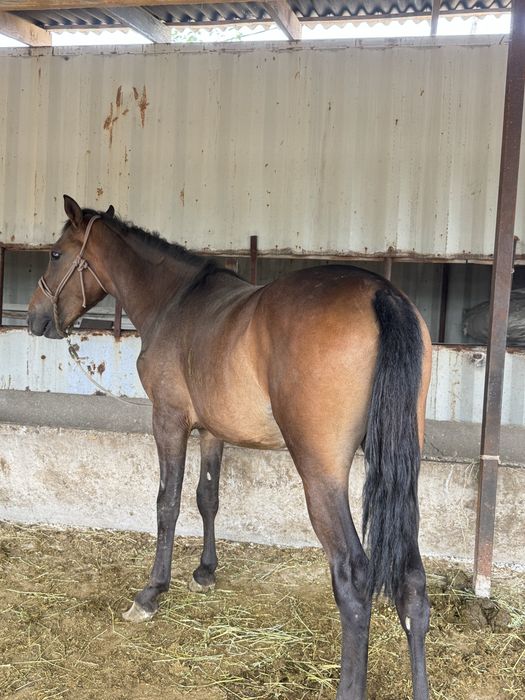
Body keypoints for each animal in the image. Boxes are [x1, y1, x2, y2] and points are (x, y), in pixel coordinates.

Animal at [28, 195, 432, 700]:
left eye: (55, 254)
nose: (34, 319)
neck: (174, 302)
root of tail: (381, 294)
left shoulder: (169, 420)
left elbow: (167, 502)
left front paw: (152, 592)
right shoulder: (212, 431)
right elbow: (207, 497)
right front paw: (205, 572)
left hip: (321, 474)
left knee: (353, 578)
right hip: (402, 470)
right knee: (412, 580)